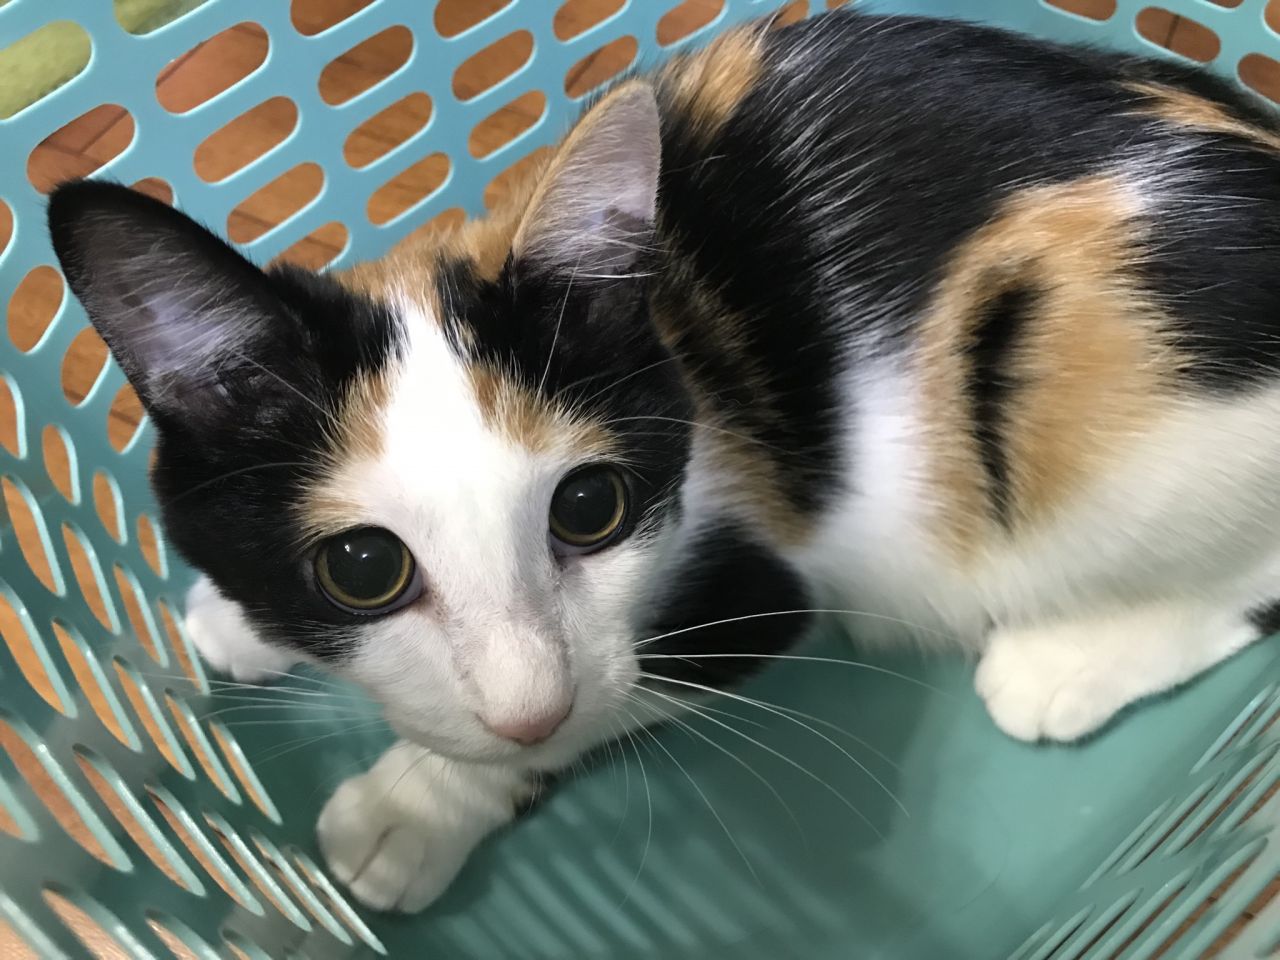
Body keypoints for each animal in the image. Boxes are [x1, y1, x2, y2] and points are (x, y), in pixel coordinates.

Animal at [48, 9, 1280, 912]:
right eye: (361, 568)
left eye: (589, 506)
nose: (524, 707)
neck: (672, 335)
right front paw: (235, 619)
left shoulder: (758, 592)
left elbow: (609, 699)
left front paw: (415, 808)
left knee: (1243, 582)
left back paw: (1063, 666)